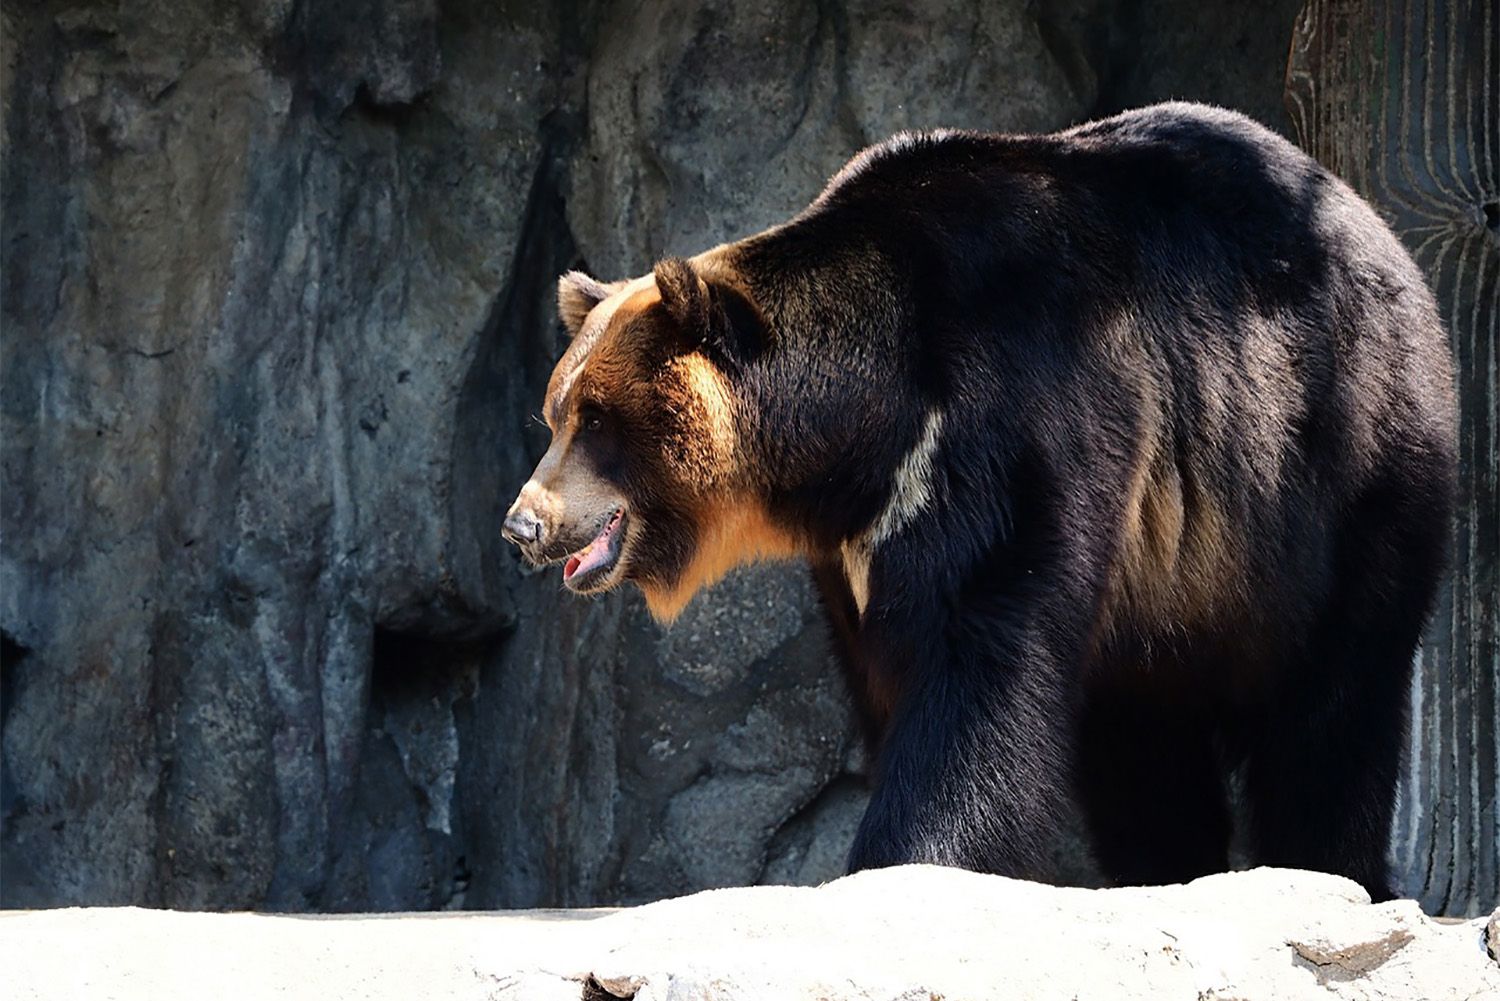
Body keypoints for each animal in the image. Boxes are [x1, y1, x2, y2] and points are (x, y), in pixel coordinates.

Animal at [501, 103, 1452, 906]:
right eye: (555, 411)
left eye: (597, 418)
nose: (523, 524)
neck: (864, 428)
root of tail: (1383, 236)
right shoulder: (860, 539)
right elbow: (889, 672)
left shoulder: (1014, 414)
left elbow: (976, 662)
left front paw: (911, 861)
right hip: (1173, 583)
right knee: (1144, 740)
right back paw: (1162, 872)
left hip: (1341, 471)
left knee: (1333, 704)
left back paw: (1330, 868)